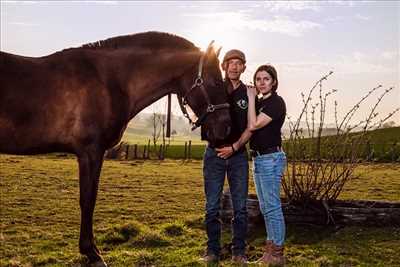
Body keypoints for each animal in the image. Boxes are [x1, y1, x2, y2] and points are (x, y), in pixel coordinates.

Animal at [0, 31, 231, 266]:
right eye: (215, 82)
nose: (226, 126)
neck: (108, 80)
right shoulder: (91, 152)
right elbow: (88, 200)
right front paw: (92, 252)